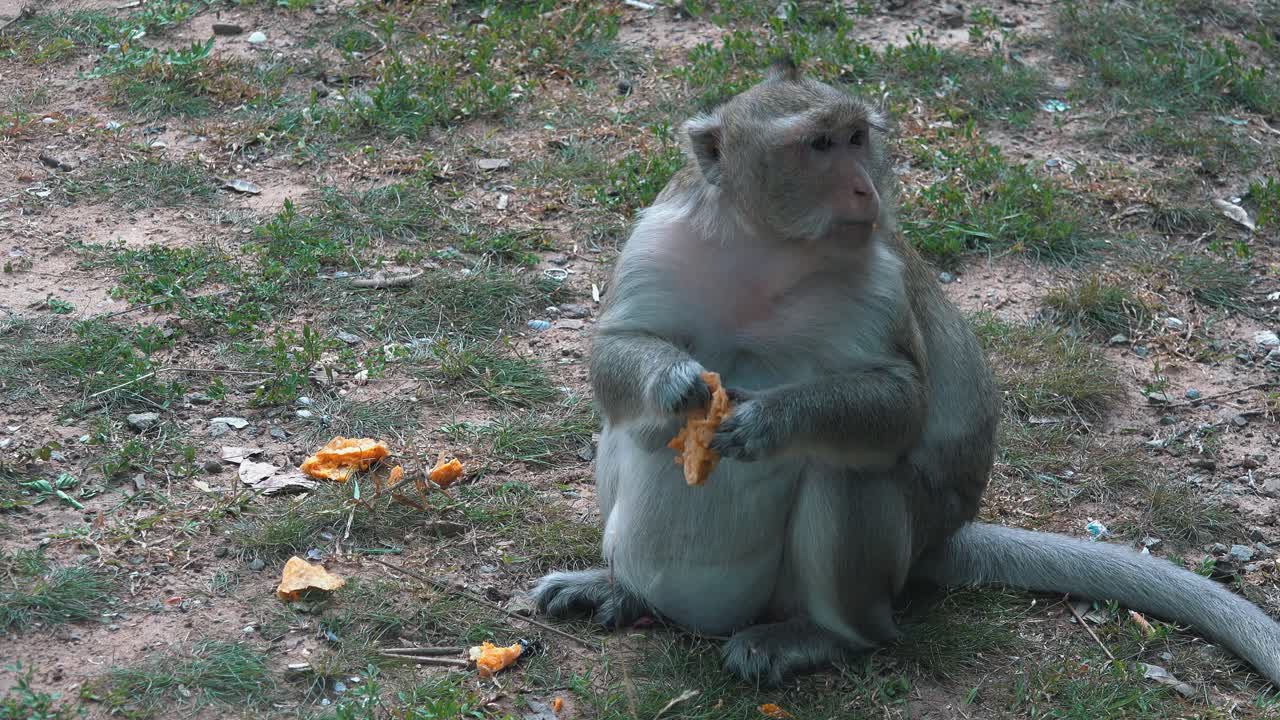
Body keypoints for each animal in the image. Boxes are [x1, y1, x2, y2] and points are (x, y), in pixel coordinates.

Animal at [529, 59, 1280, 688]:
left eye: (857, 138)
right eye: (820, 145)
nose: (864, 187)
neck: (766, 249)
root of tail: (939, 543)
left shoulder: (878, 279)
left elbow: (899, 402)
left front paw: (768, 420)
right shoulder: (658, 236)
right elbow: (615, 350)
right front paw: (679, 385)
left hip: (894, 546)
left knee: (848, 483)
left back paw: (819, 636)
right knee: (625, 429)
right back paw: (624, 588)